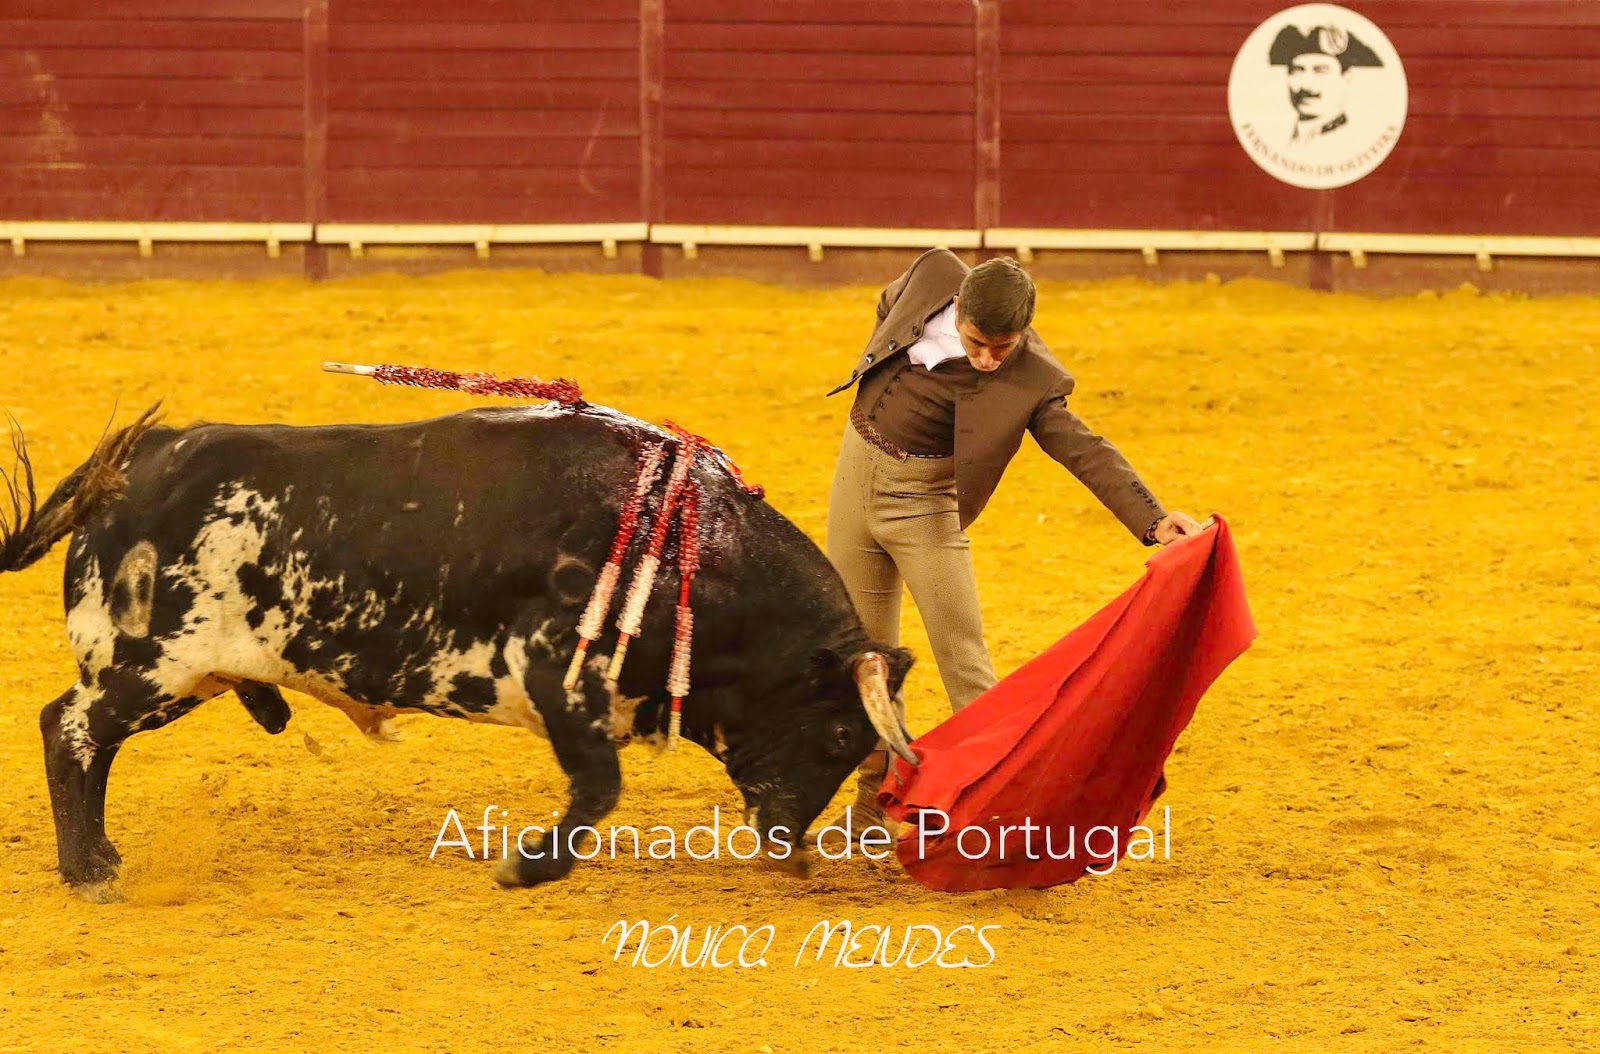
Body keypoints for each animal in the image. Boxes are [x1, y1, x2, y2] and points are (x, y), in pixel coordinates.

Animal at [0, 402, 916, 901]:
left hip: (184, 677)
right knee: (68, 731)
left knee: (85, 739)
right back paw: (90, 872)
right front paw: (526, 868)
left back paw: (102, 857)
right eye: (843, 732)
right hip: (151, 666)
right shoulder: (558, 674)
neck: (689, 549)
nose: (791, 848)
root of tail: (144, 460)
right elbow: (599, 788)